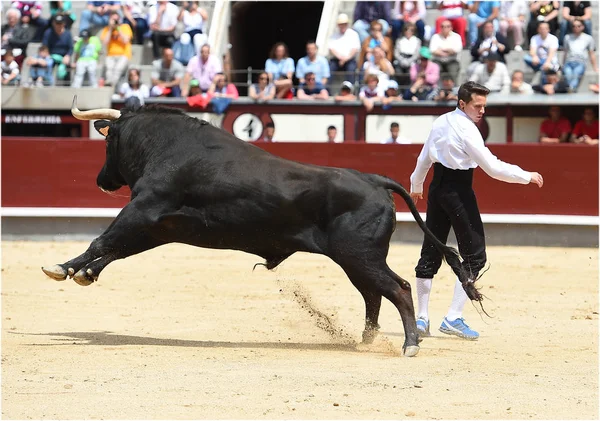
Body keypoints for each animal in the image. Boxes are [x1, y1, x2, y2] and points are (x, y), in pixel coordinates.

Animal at [42, 97, 482, 354]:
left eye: (107, 141)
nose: (102, 180)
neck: (164, 147)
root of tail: (375, 179)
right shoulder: (159, 227)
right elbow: (116, 248)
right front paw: (84, 273)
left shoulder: (144, 212)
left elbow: (103, 240)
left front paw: (62, 267)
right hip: (355, 259)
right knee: (374, 294)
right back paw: (366, 340)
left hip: (359, 255)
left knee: (398, 288)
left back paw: (409, 345)